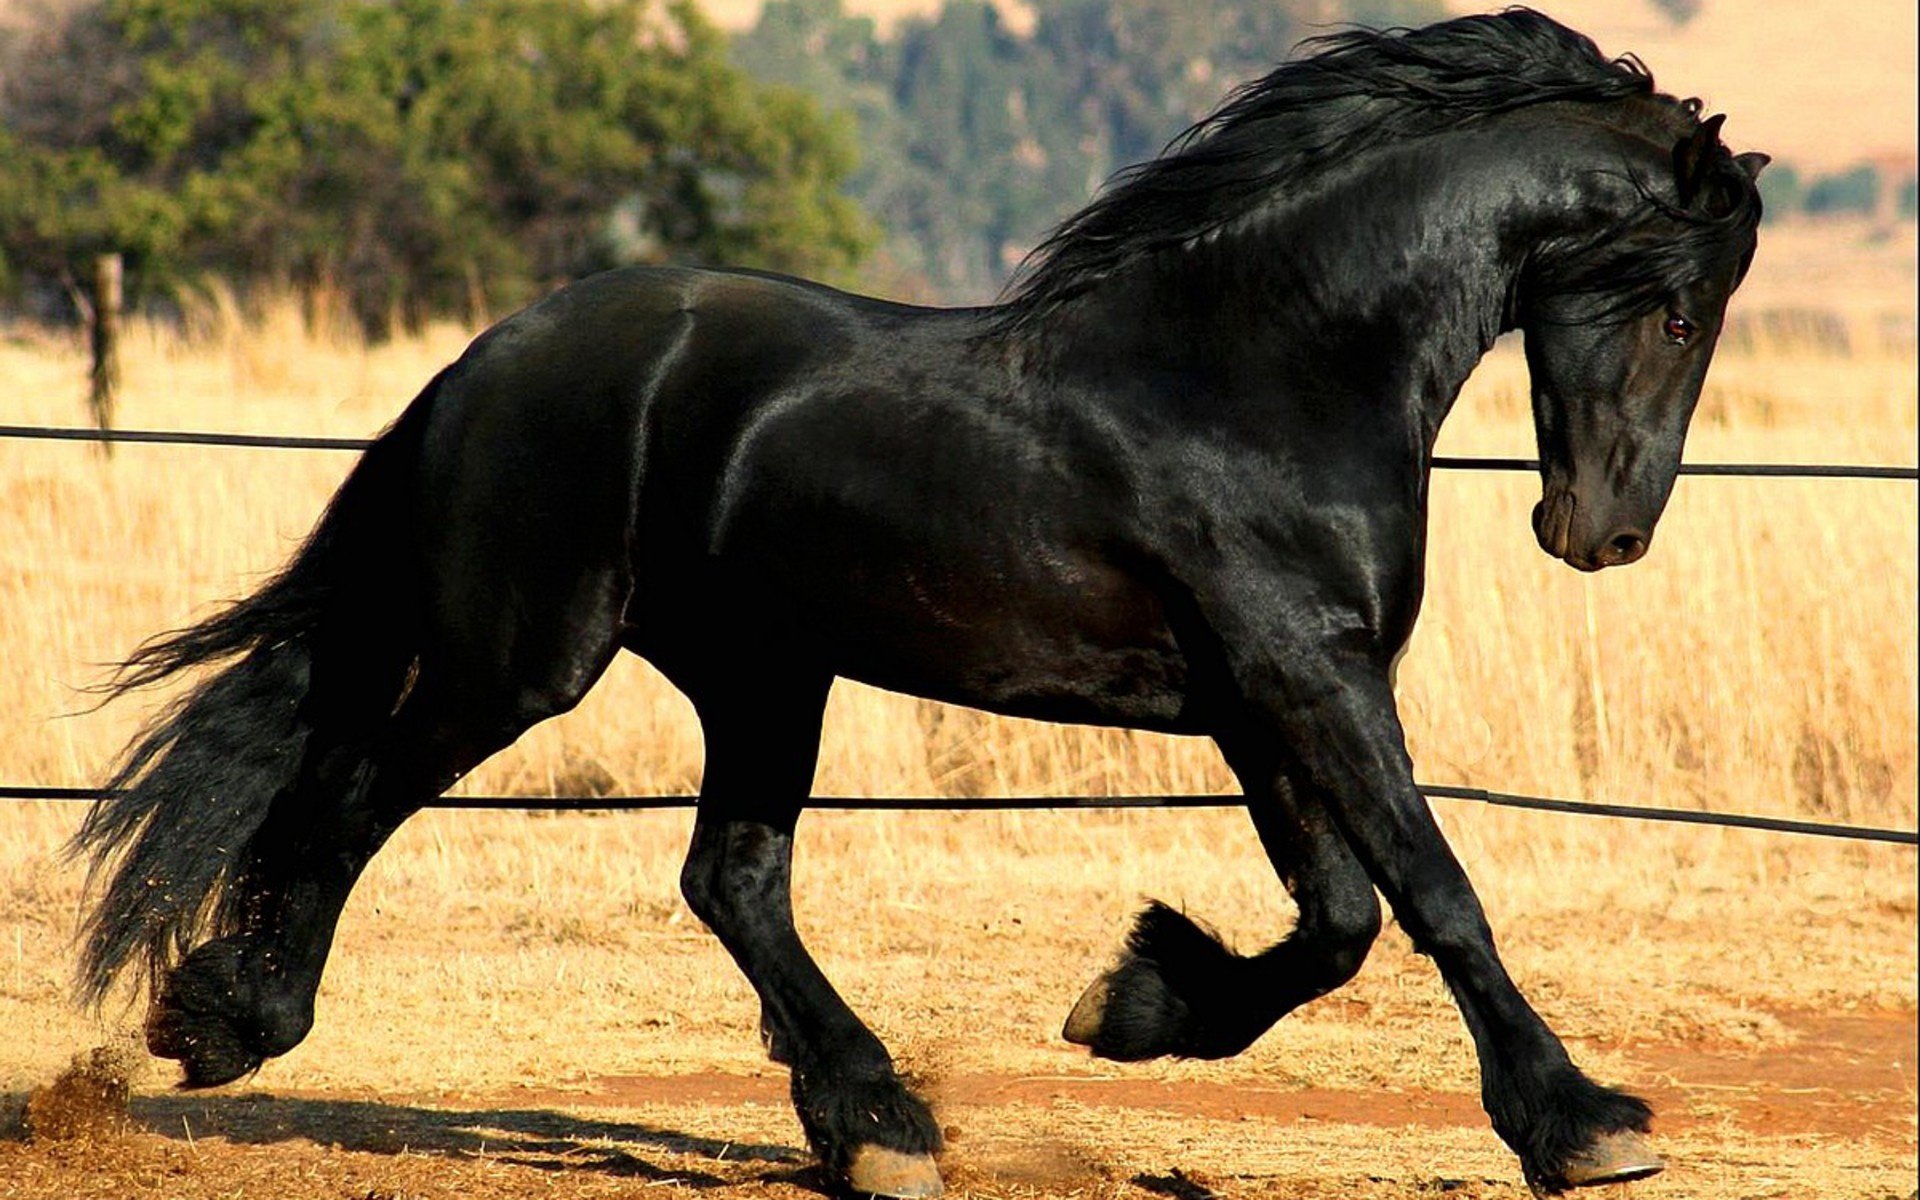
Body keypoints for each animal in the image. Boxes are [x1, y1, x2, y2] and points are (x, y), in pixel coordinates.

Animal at [74, 11, 1758, 1198]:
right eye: (1681, 308)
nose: (1602, 534)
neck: (1263, 370)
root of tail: (488, 360)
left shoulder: (1266, 697)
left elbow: (1339, 918)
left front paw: (1133, 1004)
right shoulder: (1307, 679)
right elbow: (1433, 890)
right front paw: (1587, 1126)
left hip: (764, 676)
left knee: (729, 881)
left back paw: (873, 1124)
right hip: (526, 657)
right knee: (352, 794)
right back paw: (223, 1022)